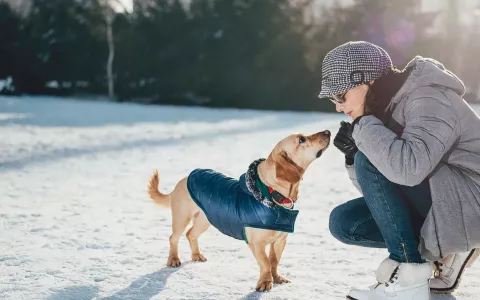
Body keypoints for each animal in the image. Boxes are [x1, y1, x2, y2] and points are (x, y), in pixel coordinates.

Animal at [148, 130, 330, 292]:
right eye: (301, 139)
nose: (328, 131)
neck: (271, 194)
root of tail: (182, 181)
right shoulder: (256, 244)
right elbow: (265, 263)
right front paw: (265, 283)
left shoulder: (280, 241)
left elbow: (274, 261)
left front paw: (276, 278)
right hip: (182, 218)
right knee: (174, 238)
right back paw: (173, 259)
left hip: (204, 220)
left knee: (191, 234)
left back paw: (196, 255)